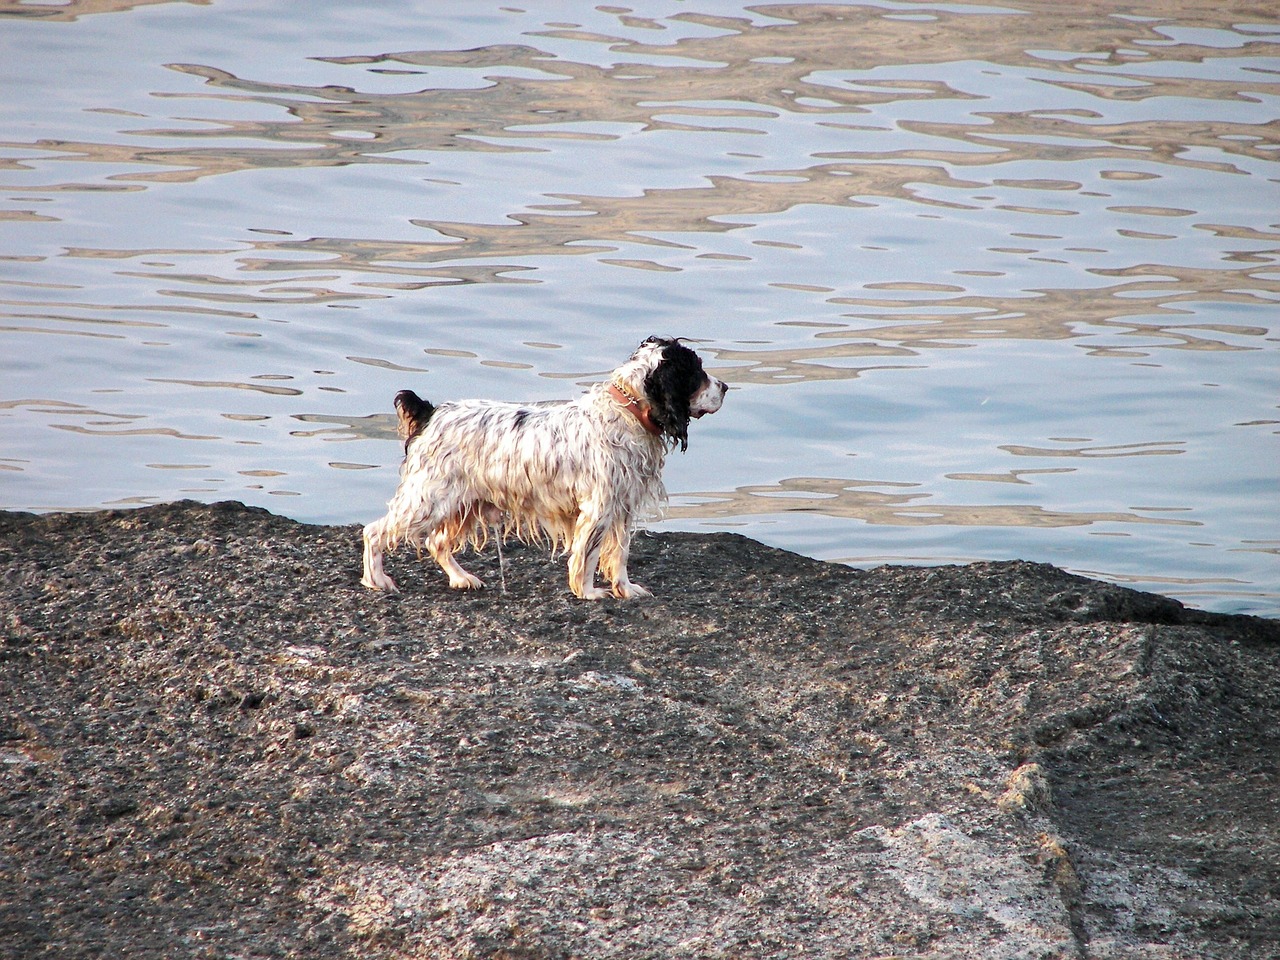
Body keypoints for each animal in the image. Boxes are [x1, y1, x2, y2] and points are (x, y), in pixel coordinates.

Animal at [360, 337, 727, 601]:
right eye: (696, 372)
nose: (724, 387)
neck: (626, 412)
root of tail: (431, 412)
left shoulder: (622, 506)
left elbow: (620, 554)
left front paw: (626, 589)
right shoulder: (598, 507)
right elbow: (587, 556)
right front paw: (588, 592)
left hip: (463, 503)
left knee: (437, 542)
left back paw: (461, 578)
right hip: (428, 499)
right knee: (374, 532)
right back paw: (377, 579)